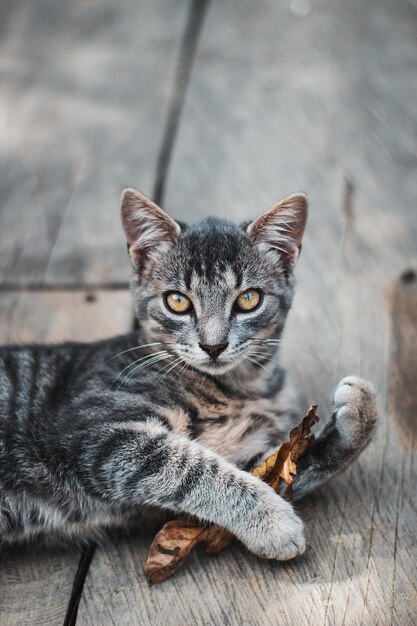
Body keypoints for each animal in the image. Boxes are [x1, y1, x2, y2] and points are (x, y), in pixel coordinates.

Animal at [0, 188, 376, 560]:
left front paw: (362, 415)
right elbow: (192, 468)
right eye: (177, 302)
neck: (240, 387)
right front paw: (271, 521)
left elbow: (288, 464)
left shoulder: (249, 453)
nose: (214, 345)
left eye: (249, 299)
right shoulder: (93, 432)